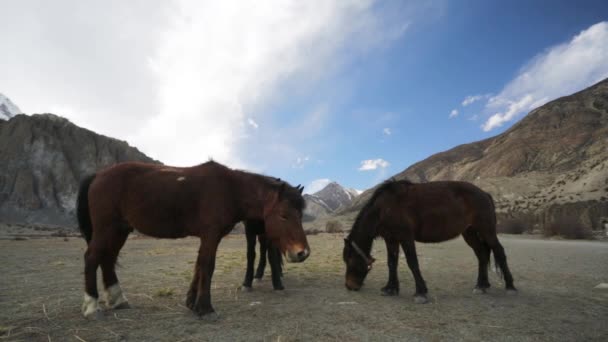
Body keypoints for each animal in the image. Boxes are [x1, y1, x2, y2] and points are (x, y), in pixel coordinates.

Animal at [76, 162, 312, 320]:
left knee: (107, 259)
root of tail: (98, 175)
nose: (302, 253)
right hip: (107, 229)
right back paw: (91, 307)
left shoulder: (206, 237)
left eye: (300, 214)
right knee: (92, 258)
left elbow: (199, 266)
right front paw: (205, 308)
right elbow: (207, 266)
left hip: (119, 230)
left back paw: (119, 301)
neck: (228, 189)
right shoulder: (211, 235)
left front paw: (191, 303)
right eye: (283, 215)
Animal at [344, 178, 516, 304]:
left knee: (499, 252)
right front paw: (390, 289)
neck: (384, 208)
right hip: (470, 233)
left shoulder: (406, 237)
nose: (349, 286)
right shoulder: (391, 239)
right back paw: (481, 285)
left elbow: (412, 262)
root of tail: (485, 194)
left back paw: (510, 286)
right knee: (482, 254)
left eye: (350, 260)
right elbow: (391, 263)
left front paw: (420, 292)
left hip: (487, 231)